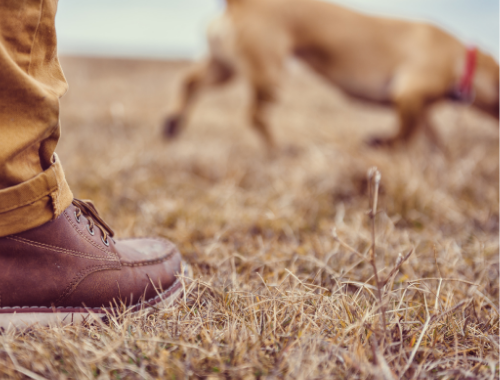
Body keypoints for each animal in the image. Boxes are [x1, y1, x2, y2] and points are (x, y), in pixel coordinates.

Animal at [162, 0, 498, 150]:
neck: (463, 61)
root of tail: (239, 3)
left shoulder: (415, 104)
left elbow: (424, 131)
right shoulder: (408, 94)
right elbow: (405, 133)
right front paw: (381, 142)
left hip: (224, 69)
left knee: (190, 83)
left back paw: (173, 124)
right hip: (269, 76)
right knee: (255, 116)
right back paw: (280, 149)